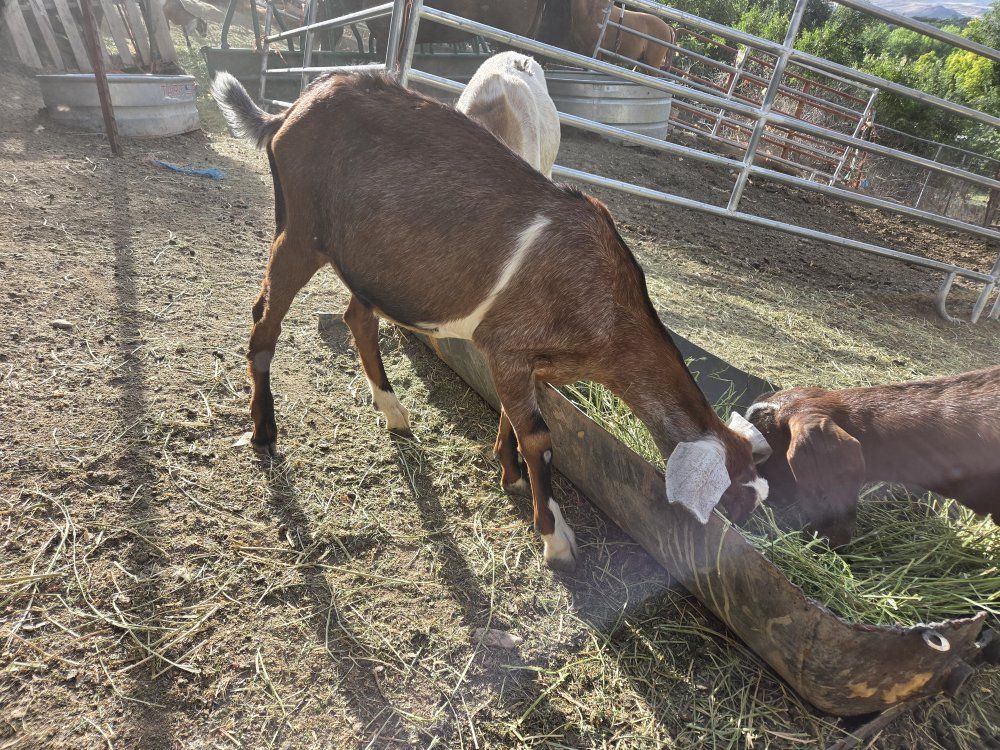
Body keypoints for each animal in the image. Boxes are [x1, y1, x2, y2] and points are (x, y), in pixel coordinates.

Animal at [211, 70, 770, 569]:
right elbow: (540, 437)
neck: (606, 303)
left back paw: (394, 413)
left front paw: (512, 475)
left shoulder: (525, 360)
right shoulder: (506, 345)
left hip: (368, 261)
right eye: (738, 499)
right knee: (266, 317)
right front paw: (555, 538)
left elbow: (516, 418)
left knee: (358, 319)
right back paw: (264, 431)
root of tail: (288, 112)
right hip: (301, 231)